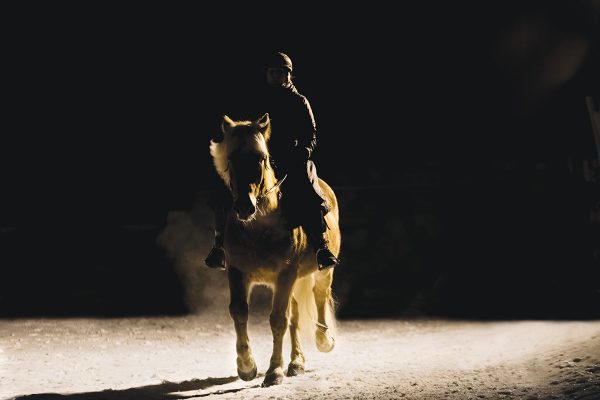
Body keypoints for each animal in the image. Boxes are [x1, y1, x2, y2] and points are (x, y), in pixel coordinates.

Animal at [209, 112, 340, 388]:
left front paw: (274, 371)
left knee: (319, 295)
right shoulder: (237, 272)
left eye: (261, 157)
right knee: (295, 314)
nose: (244, 207)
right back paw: (297, 362)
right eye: (231, 157)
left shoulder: (285, 274)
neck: (260, 226)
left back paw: (324, 340)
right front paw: (247, 367)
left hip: (321, 271)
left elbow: (278, 319)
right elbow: (239, 312)